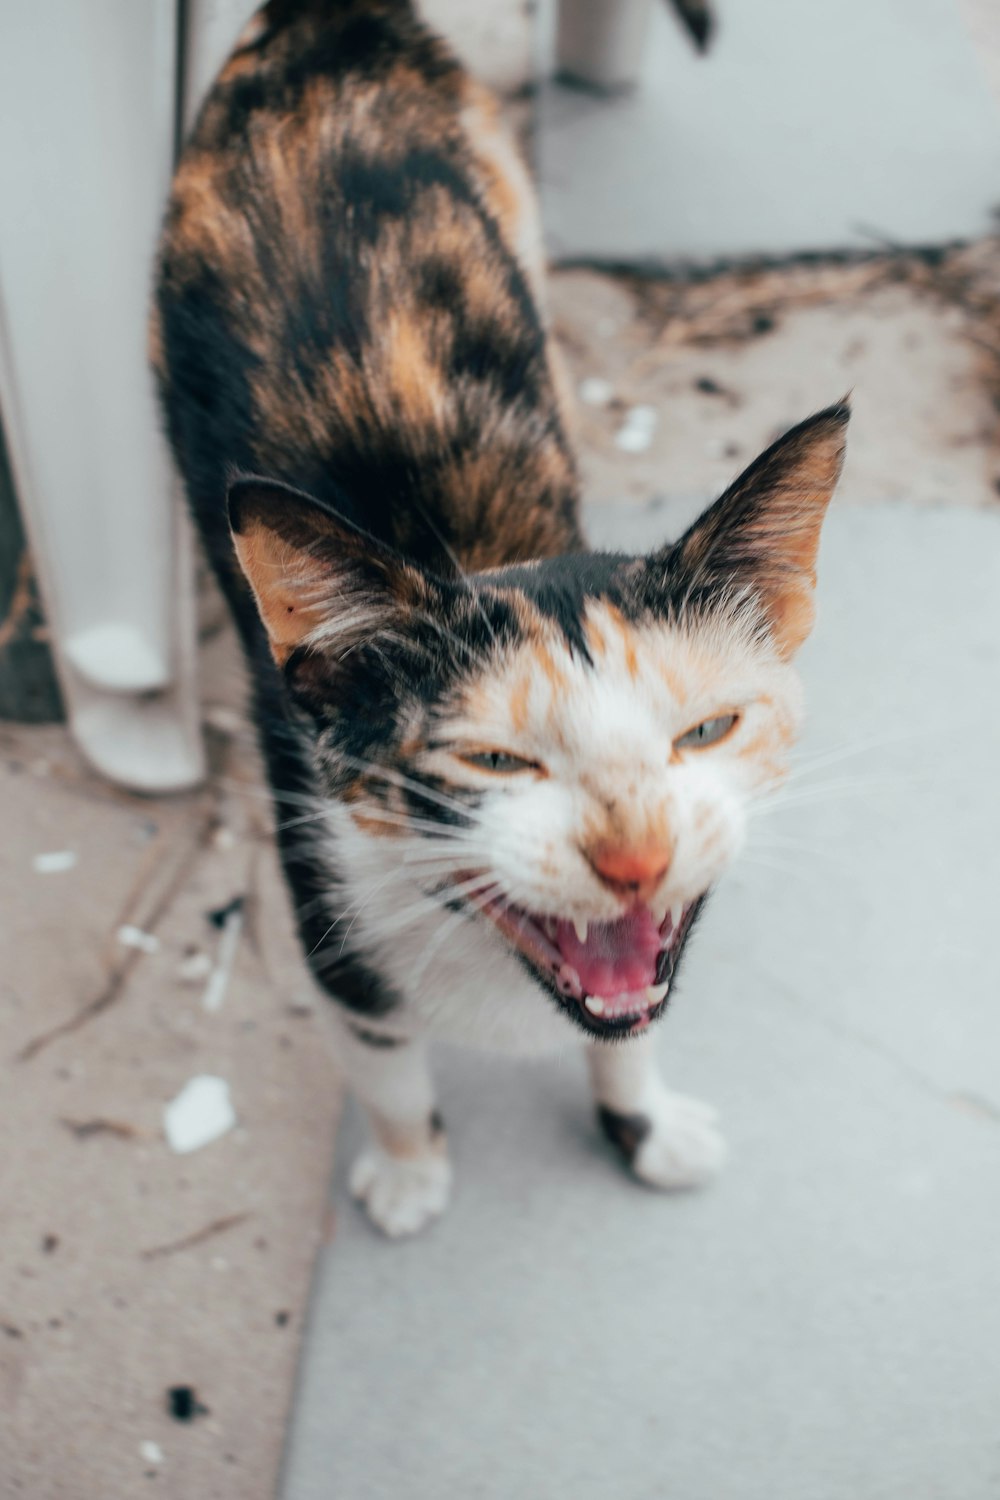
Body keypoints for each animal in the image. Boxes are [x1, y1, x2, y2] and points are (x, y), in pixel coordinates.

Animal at [152, 0, 851, 1236]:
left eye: (705, 732)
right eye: (491, 759)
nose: (637, 860)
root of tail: (325, 16)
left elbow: (636, 1020)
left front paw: (643, 1122)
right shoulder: (325, 902)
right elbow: (381, 1059)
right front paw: (408, 1171)